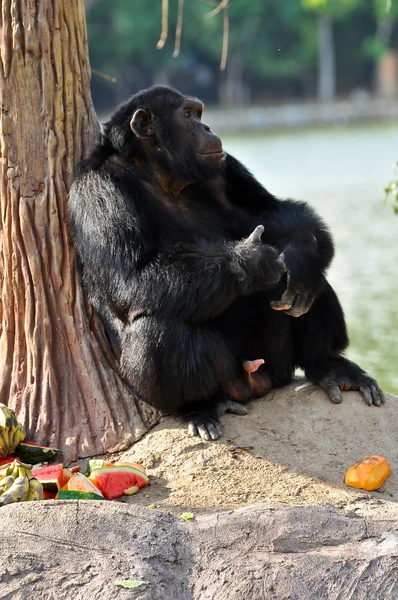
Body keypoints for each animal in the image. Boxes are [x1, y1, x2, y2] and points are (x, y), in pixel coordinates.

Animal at [69, 84, 386, 440]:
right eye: (188, 115)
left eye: (198, 113)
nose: (207, 127)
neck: (159, 173)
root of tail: (253, 379)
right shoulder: (100, 189)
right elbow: (131, 276)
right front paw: (250, 261)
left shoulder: (226, 167)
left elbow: (271, 211)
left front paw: (299, 256)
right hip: (225, 375)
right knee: (157, 332)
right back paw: (200, 406)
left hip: (277, 361)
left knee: (312, 283)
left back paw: (328, 363)